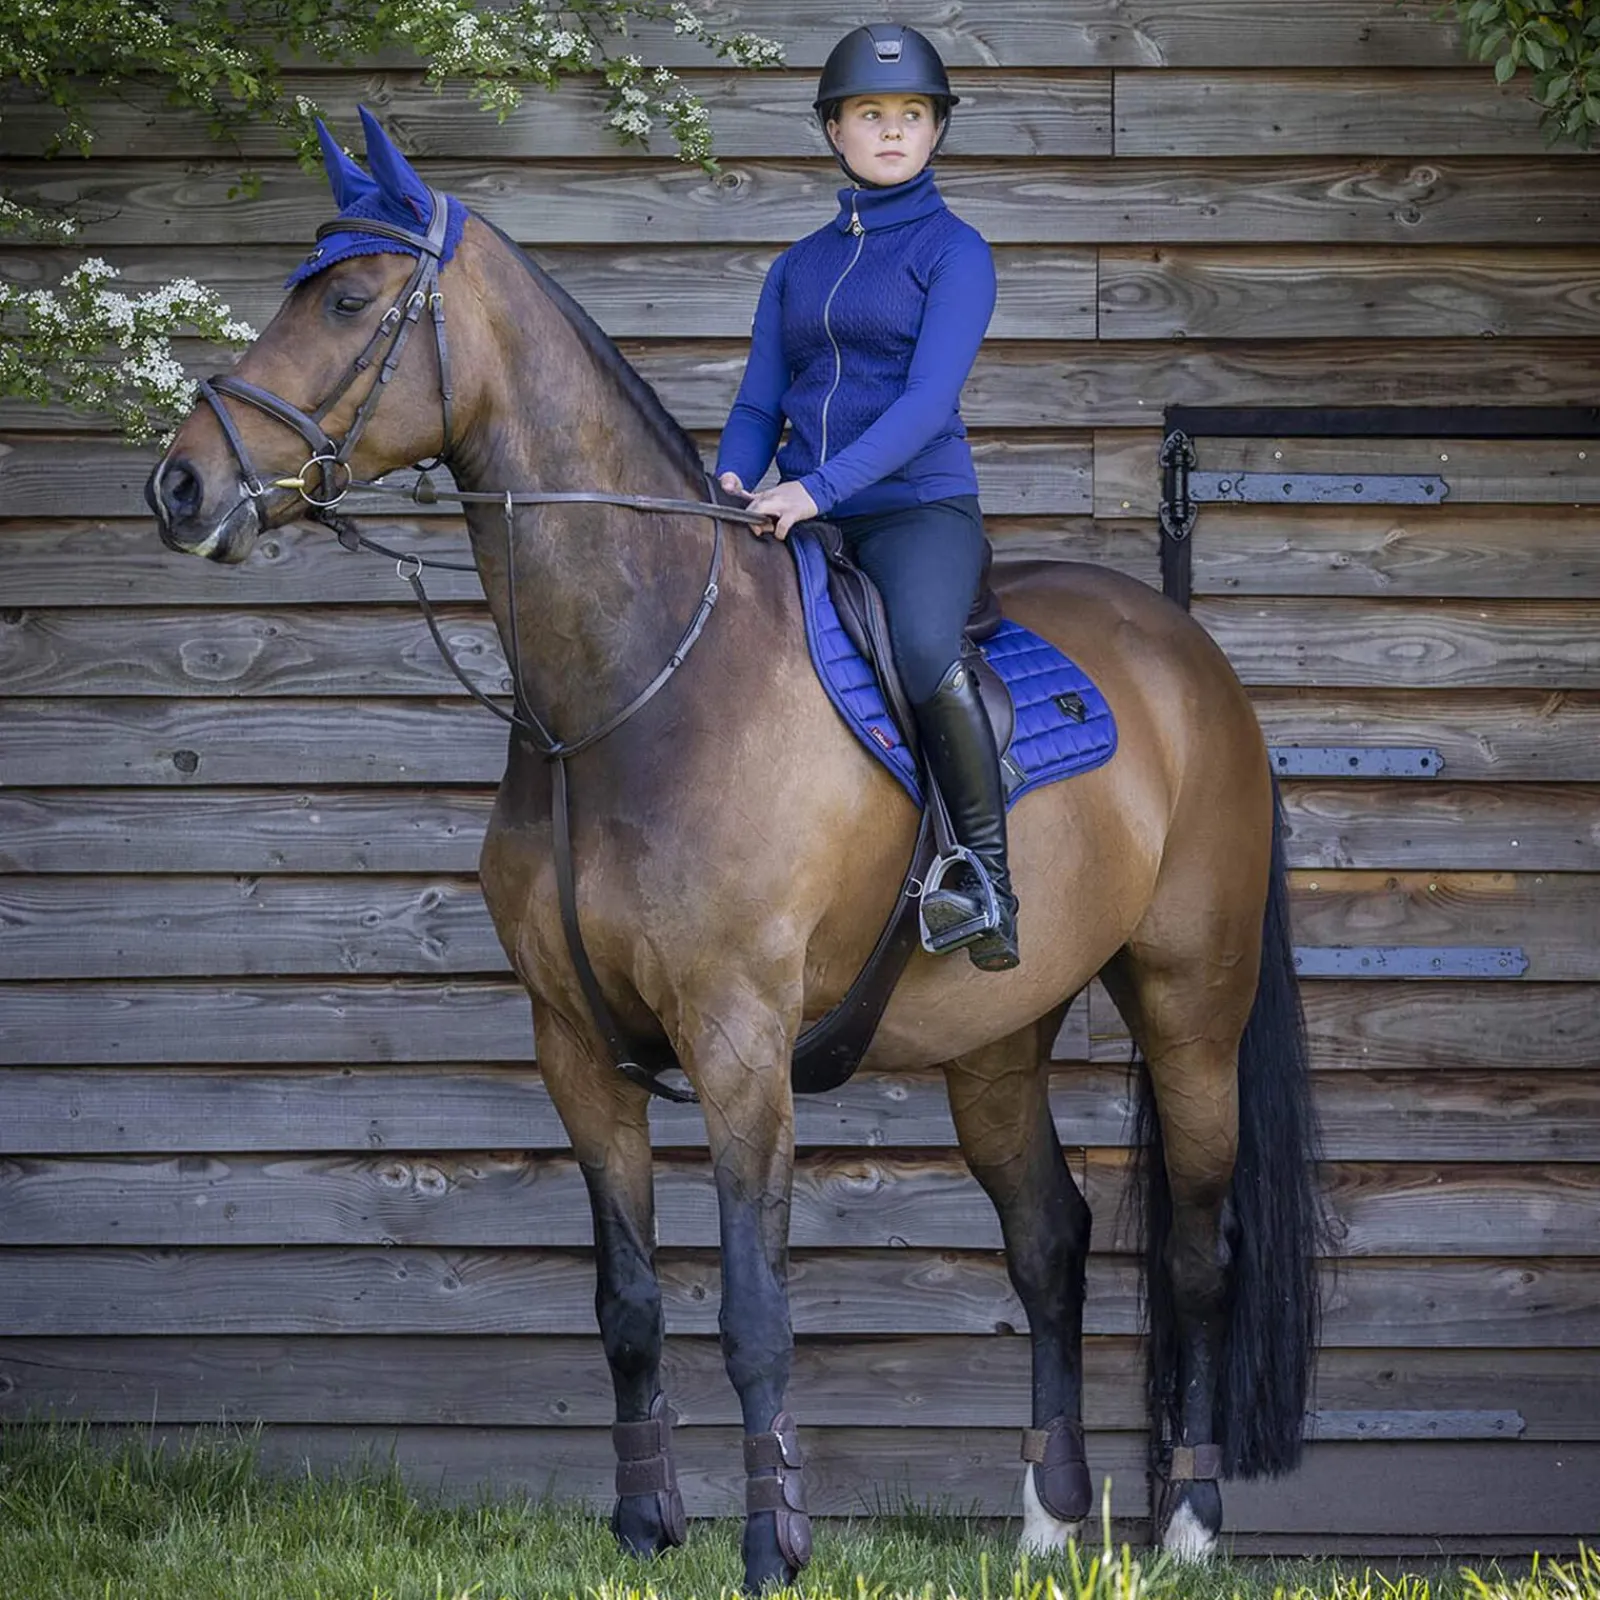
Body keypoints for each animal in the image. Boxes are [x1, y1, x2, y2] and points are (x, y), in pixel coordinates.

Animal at [146, 117, 1322, 1590]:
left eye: (350, 302)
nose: (180, 485)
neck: (633, 686)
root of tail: (1195, 667)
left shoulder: (739, 1041)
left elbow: (755, 1310)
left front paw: (773, 1546)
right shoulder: (575, 1048)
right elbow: (629, 1303)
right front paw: (645, 1528)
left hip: (1190, 1004)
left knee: (1197, 1250)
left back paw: (1188, 1528)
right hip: (998, 1034)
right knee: (1047, 1241)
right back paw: (1046, 1522)